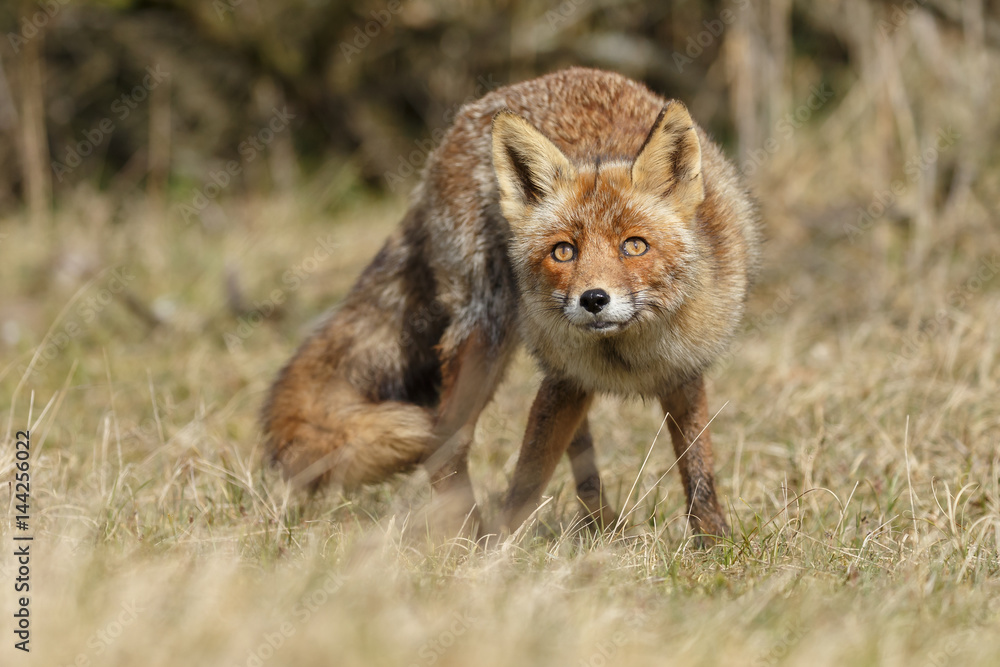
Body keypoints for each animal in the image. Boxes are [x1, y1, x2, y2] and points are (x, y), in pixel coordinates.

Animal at [262, 67, 761, 541]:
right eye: (564, 251)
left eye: (634, 246)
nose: (594, 299)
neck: (626, 356)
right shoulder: (561, 382)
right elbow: (526, 482)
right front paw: (501, 554)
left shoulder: (679, 374)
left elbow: (698, 472)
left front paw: (713, 545)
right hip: (487, 335)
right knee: (446, 437)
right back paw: (469, 540)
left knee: (580, 457)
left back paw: (601, 528)